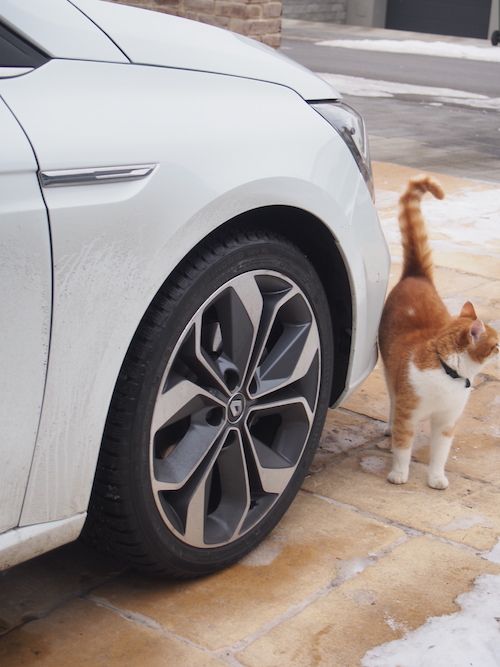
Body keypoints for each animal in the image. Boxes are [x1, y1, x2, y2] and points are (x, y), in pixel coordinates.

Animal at [378, 174, 499, 490]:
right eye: (496, 345)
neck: (449, 371)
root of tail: (416, 275)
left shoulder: (446, 422)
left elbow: (440, 452)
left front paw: (436, 478)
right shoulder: (408, 413)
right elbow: (403, 446)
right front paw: (399, 473)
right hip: (390, 375)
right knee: (392, 404)